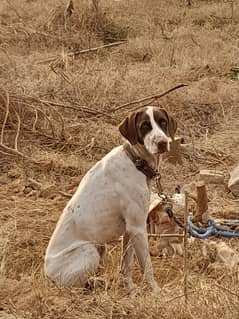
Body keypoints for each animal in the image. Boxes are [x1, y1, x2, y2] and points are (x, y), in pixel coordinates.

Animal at [44, 106, 176, 292]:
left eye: (162, 122)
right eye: (144, 125)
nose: (163, 143)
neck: (135, 161)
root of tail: (47, 274)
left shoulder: (129, 231)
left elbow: (126, 265)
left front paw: (130, 288)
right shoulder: (138, 228)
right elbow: (147, 266)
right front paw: (155, 291)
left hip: (100, 247)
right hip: (89, 251)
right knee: (73, 287)